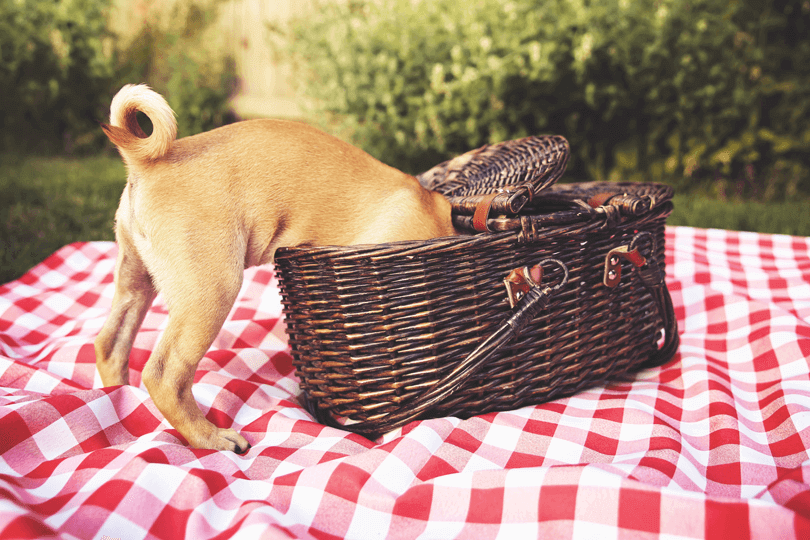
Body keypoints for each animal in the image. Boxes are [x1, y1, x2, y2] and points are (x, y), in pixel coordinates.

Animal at [94, 84, 458, 454]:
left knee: (111, 344)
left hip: (135, 280)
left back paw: (120, 396)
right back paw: (209, 437)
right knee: (165, 376)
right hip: (212, 292)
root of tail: (149, 163)